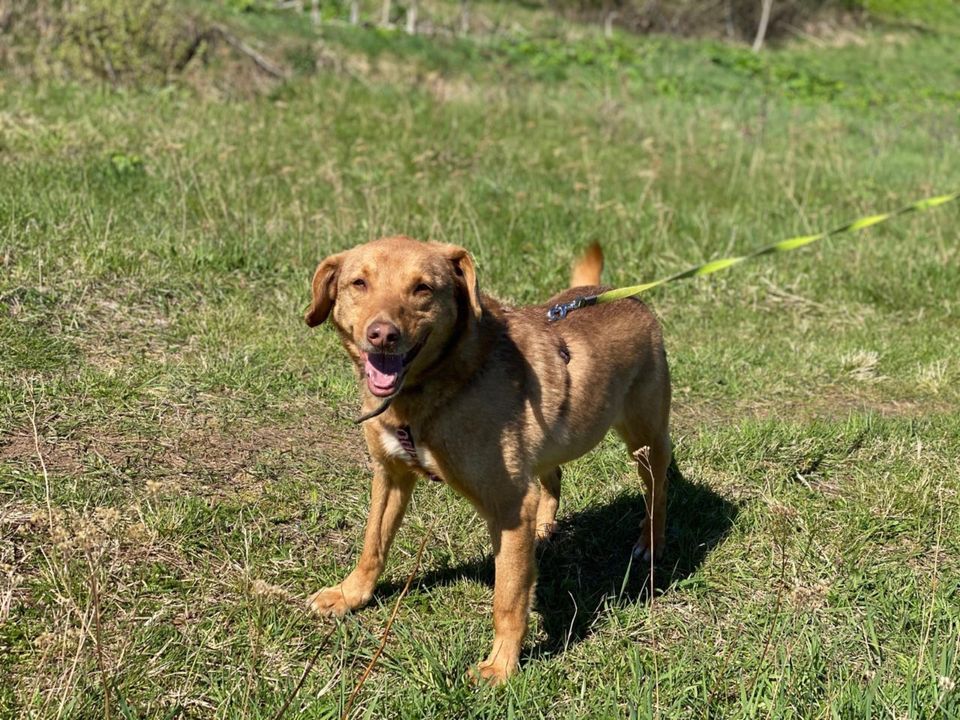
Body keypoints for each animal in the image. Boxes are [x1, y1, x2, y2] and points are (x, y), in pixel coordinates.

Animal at [304, 239, 672, 684]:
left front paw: (501, 666)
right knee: (554, 474)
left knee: (658, 489)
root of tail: (622, 294)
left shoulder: (509, 506)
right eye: (359, 283)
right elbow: (373, 544)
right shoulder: (390, 475)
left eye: (423, 288)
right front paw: (350, 594)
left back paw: (650, 542)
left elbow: (508, 598)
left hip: (646, 440)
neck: (435, 387)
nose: (383, 335)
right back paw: (545, 527)